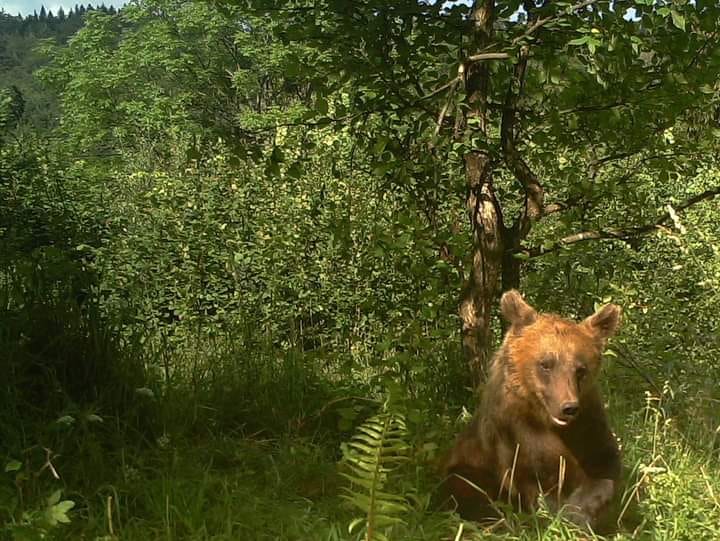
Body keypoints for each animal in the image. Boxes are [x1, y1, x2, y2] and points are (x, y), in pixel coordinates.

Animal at [442, 288, 620, 528]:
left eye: (581, 369)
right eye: (546, 363)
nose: (568, 407)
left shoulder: (589, 424)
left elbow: (605, 467)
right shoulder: (517, 436)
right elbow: (540, 482)